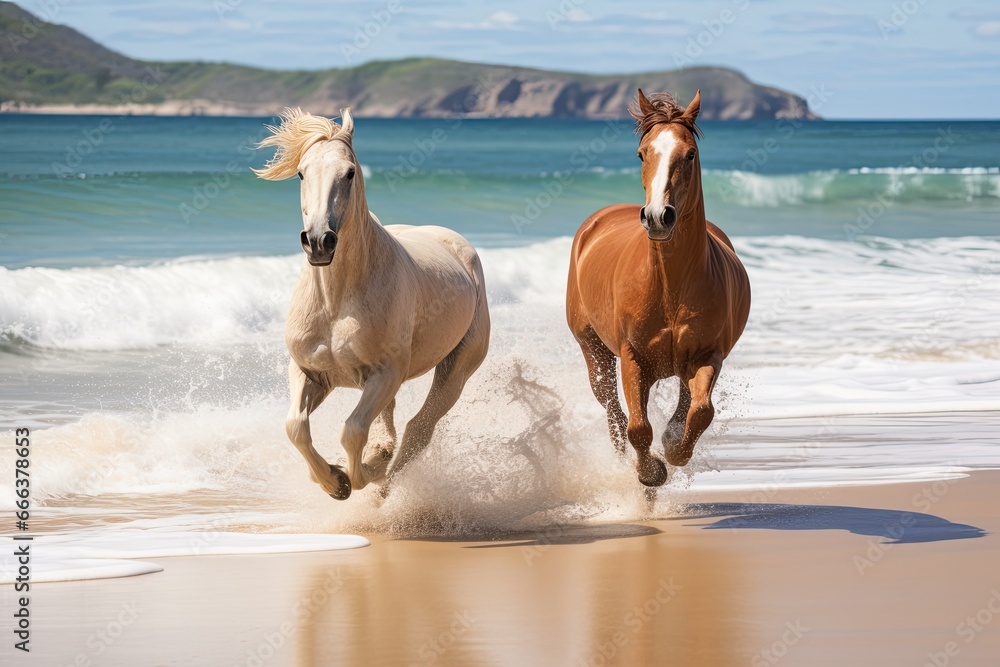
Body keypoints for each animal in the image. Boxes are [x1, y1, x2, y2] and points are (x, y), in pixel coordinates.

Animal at [256, 107, 490, 498]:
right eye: (302, 172)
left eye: (349, 172)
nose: (319, 242)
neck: (336, 303)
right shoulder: (310, 372)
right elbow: (296, 427)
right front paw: (334, 481)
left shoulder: (385, 373)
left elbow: (352, 432)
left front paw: (358, 475)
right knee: (392, 425)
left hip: (455, 371)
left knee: (418, 430)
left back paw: (384, 484)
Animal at [568, 88, 748, 486]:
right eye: (642, 153)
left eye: (690, 154)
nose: (657, 217)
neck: (669, 287)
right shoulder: (632, 356)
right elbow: (638, 429)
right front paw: (651, 472)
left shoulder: (707, 355)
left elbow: (700, 412)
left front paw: (672, 449)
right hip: (594, 349)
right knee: (614, 412)